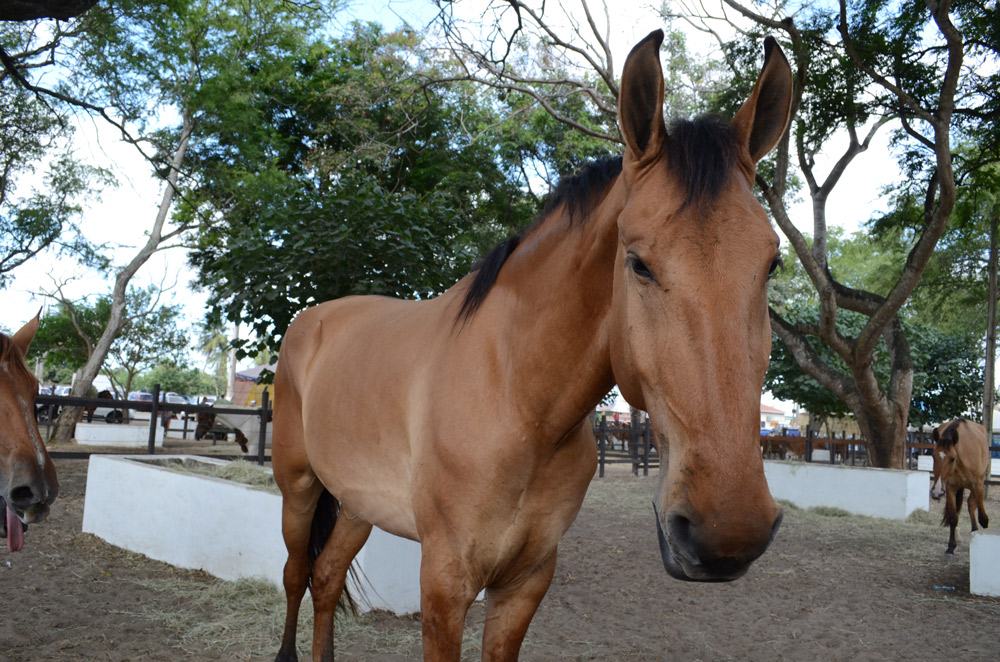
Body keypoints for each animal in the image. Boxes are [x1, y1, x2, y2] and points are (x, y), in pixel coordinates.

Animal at [270, 31, 792, 662]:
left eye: (771, 263)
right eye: (638, 262)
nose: (727, 533)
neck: (519, 397)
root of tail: (314, 319)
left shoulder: (527, 578)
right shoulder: (443, 581)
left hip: (354, 502)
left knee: (324, 578)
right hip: (298, 487)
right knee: (296, 574)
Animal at [928, 420, 992, 556]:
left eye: (952, 458)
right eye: (933, 456)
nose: (937, 492)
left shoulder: (978, 485)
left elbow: (983, 518)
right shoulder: (950, 487)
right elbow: (953, 518)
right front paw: (951, 547)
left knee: (971, 504)